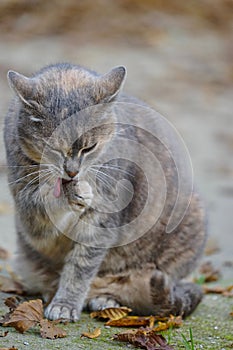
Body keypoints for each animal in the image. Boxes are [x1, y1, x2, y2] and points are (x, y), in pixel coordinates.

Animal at [4, 63, 207, 320]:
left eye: (90, 148)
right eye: (53, 148)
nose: (72, 172)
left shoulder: (102, 218)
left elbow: (80, 267)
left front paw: (65, 304)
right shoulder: (28, 211)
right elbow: (45, 205)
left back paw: (105, 299)